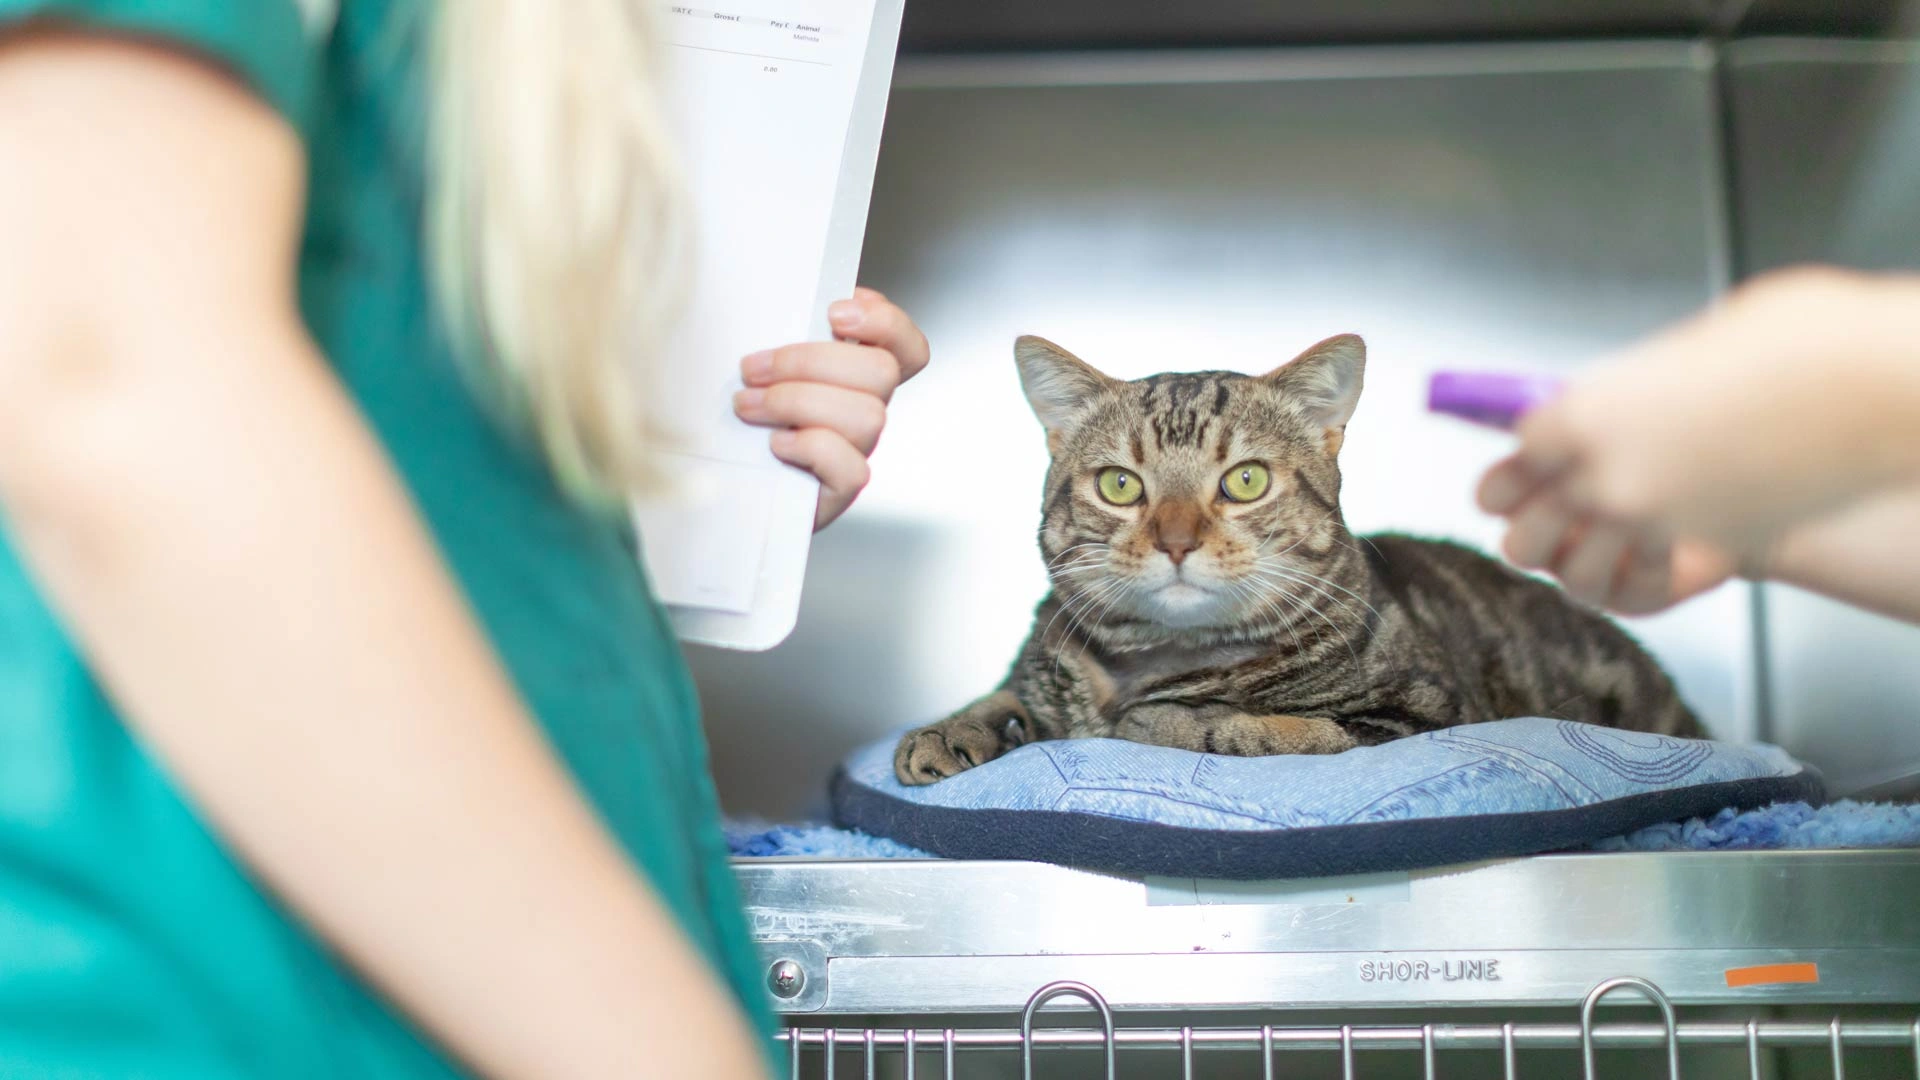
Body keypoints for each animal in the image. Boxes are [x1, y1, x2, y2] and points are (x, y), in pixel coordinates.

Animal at [890, 330, 1704, 780]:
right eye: (1120, 484)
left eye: (1245, 480)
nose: (1177, 539)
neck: (1152, 662)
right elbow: (1006, 697)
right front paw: (950, 730)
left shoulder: (1414, 717)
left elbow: (1250, 728)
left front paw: (1160, 721)